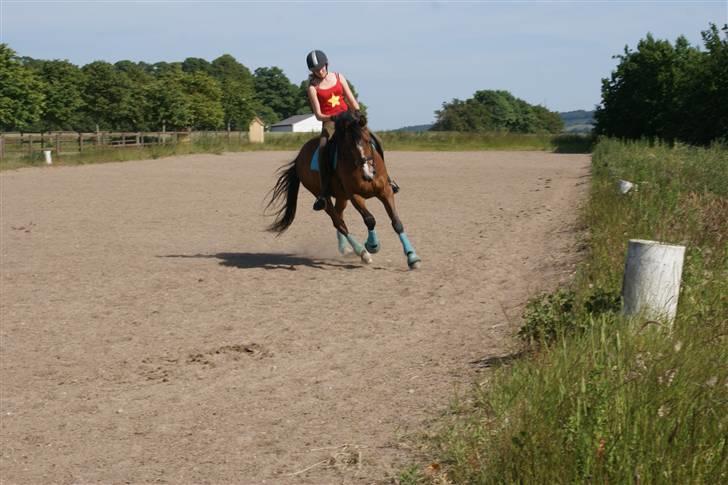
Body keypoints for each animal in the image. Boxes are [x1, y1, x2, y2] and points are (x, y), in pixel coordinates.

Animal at [264, 110, 420, 268]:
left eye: (368, 141)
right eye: (349, 146)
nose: (368, 174)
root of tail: (299, 156)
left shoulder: (385, 192)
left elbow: (397, 223)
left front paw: (412, 257)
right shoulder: (355, 196)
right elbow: (370, 220)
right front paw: (372, 245)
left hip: (341, 197)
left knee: (340, 216)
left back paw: (345, 248)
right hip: (323, 197)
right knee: (338, 223)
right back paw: (362, 252)